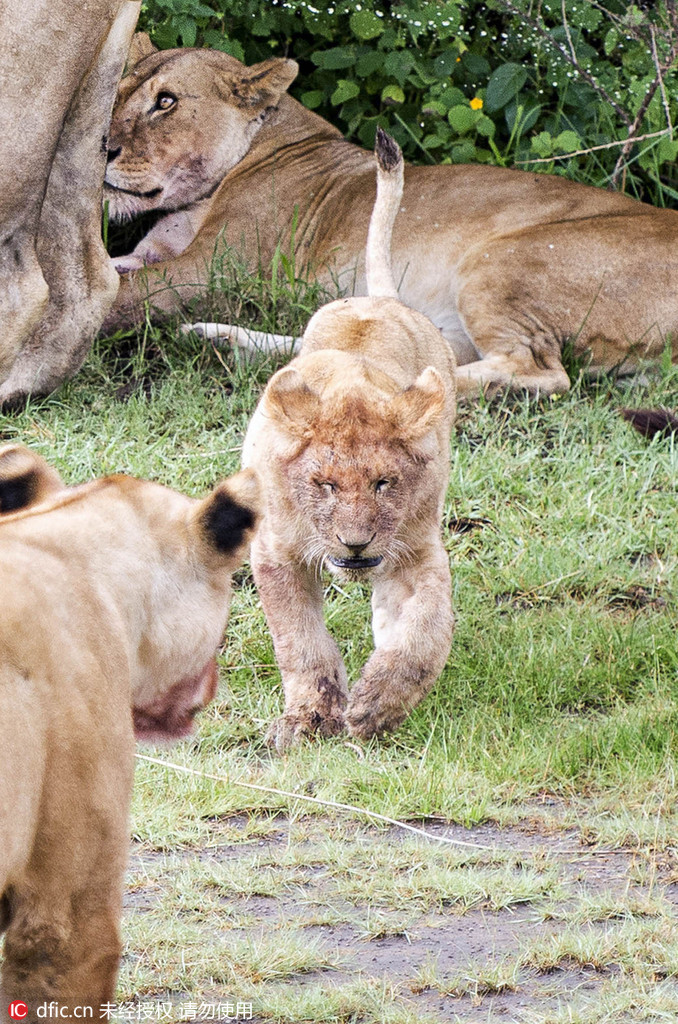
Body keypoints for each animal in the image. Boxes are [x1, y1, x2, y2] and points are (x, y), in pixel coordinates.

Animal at [244, 130, 456, 753]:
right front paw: (311, 717)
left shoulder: (418, 549)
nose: (356, 544)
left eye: (385, 483)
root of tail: (378, 299)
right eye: (325, 485)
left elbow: (426, 632)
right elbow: (299, 640)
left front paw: (376, 707)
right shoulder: (275, 553)